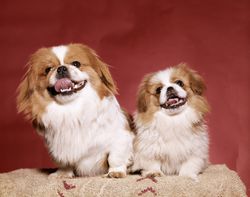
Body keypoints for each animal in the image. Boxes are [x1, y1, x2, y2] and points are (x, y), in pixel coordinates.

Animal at [16, 43, 134, 179]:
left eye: (76, 63)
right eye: (48, 69)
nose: (61, 68)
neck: (72, 108)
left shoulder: (121, 138)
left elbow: (115, 157)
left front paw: (115, 172)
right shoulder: (60, 147)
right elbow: (64, 162)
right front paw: (62, 173)